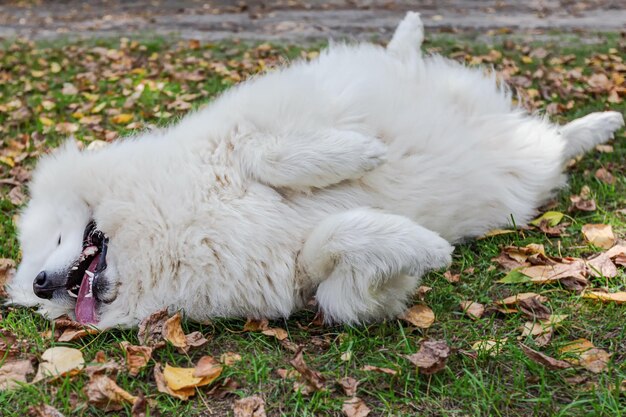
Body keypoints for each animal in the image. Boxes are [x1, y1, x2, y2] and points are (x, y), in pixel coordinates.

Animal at [7, 13, 620, 326]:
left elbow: (269, 155)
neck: (167, 229)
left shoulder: (242, 137)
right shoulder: (304, 275)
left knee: (396, 56)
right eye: (42, 295)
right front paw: (423, 247)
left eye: (57, 238)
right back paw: (602, 124)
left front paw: (363, 154)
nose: (39, 284)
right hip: (525, 168)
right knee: (558, 144)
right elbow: (342, 257)